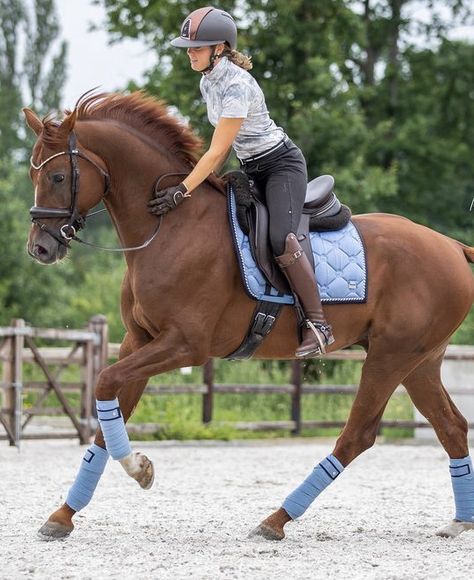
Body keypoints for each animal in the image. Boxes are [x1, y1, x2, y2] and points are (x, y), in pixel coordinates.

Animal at [24, 93, 472, 540]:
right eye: (34, 174)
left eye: (59, 177)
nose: (40, 249)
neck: (167, 228)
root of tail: (451, 246)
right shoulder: (139, 341)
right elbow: (108, 408)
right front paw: (64, 514)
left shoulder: (184, 345)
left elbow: (104, 381)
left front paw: (139, 469)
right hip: (418, 362)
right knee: (451, 426)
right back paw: (459, 520)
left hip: (389, 358)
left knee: (357, 435)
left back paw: (277, 519)